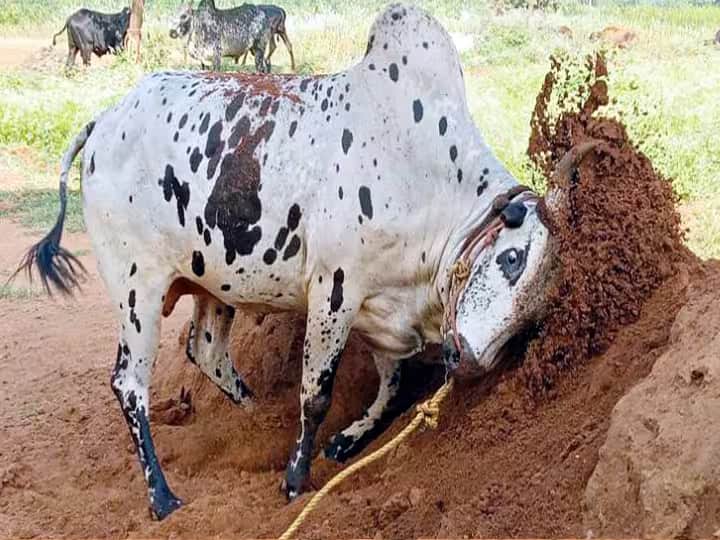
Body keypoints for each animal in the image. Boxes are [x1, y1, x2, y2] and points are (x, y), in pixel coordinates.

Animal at [16, 3, 595, 520]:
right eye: (513, 258)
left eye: (534, 319)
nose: (470, 359)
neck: (425, 176)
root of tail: (104, 120)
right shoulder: (334, 292)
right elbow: (316, 394)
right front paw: (296, 478)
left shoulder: (382, 314)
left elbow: (392, 384)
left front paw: (345, 441)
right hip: (137, 289)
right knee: (129, 384)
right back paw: (161, 496)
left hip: (212, 284)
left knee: (207, 352)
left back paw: (255, 421)